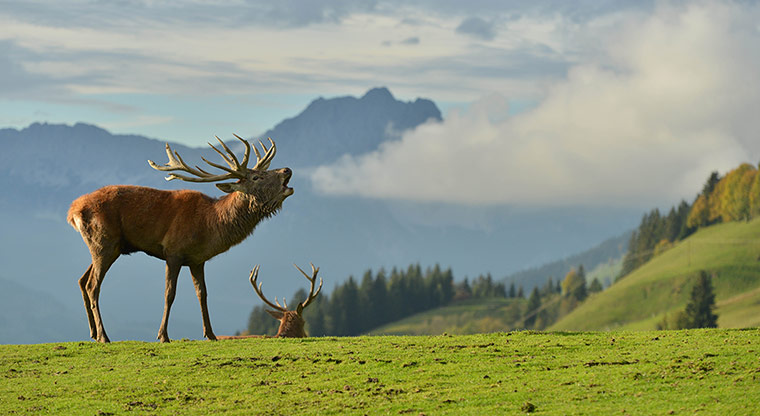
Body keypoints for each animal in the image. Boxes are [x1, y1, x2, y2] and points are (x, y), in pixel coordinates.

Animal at [68, 135, 294, 342]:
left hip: (107, 247)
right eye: (256, 177)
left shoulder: (197, 260)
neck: (210, 225)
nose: (286, 170)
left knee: (82, 280)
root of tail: (73, 211)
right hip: (104, 242)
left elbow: (202, 294)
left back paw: (93, 332)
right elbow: (169, 293)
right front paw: (163, 336)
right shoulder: (173, 252)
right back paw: (103, 336)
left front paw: (210, 334)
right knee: (93, 286)